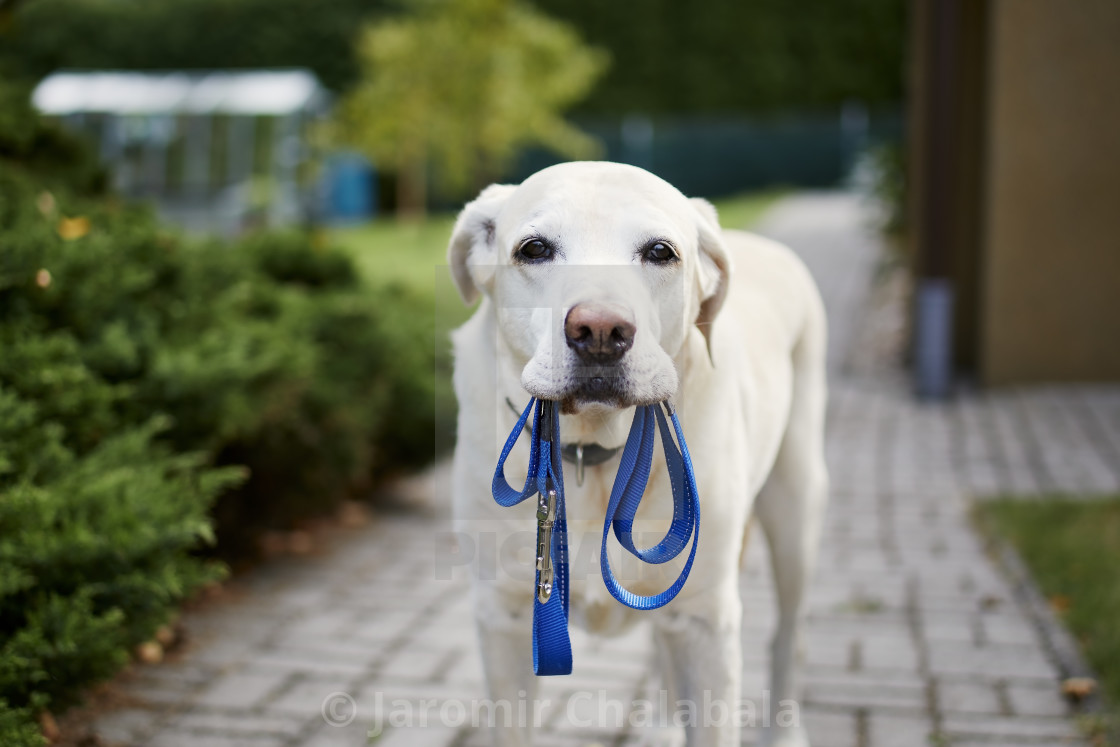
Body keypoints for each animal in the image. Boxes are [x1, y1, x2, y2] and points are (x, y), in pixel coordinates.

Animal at [443, 161, 824, 743]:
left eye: (660, 252)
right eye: (534, 249)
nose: (600, 330)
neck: (592, 456)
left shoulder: (706, 623)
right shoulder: (504, 618)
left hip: (794, 511)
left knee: (787, 634)